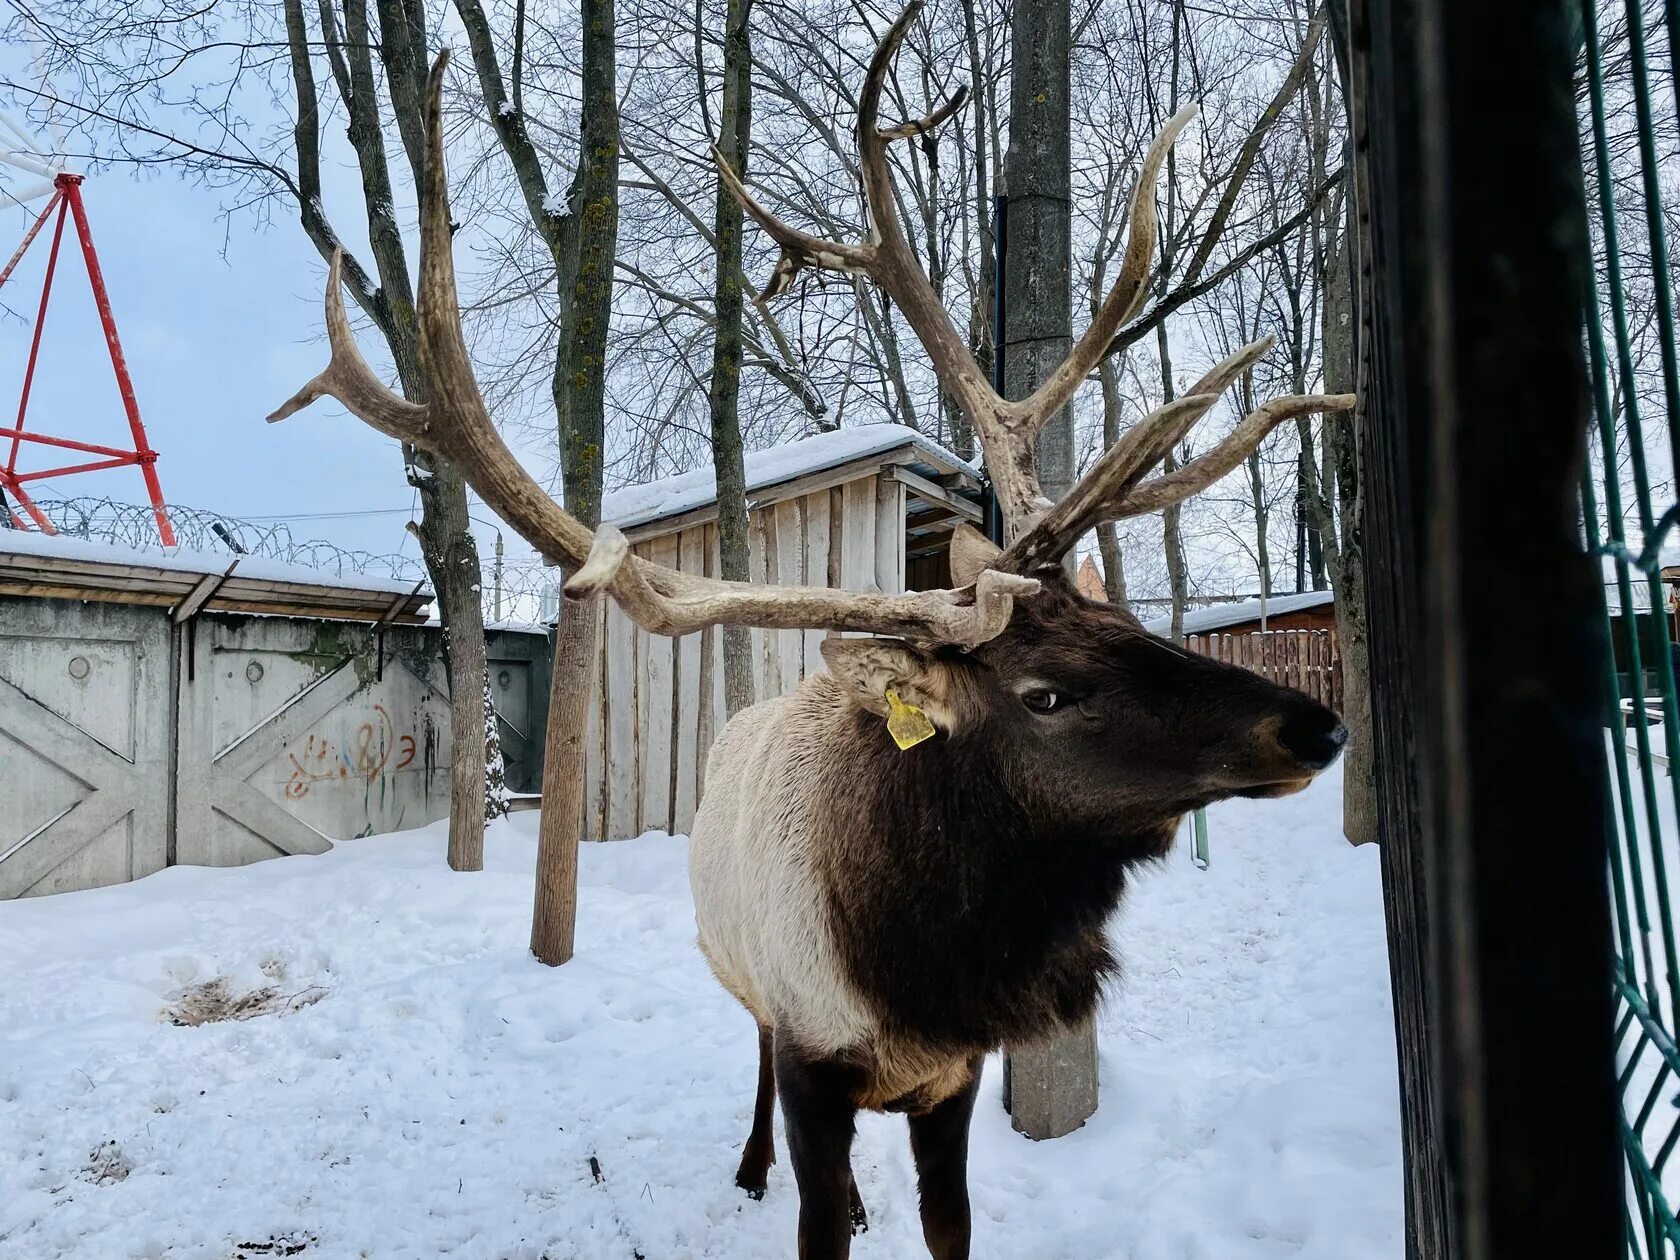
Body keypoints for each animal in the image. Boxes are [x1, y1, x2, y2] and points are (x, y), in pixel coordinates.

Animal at [272, 12, 1350, 1260]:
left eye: (1124, 622)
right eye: (1045, 693)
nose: (1315, 726)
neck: (921, 971)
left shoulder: (955, 1074)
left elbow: (949, 1223)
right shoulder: (811, 1056)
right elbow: (816, 1209)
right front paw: (793, 1188)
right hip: (741, 973)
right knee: (747, 1069)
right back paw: (749, 1168)